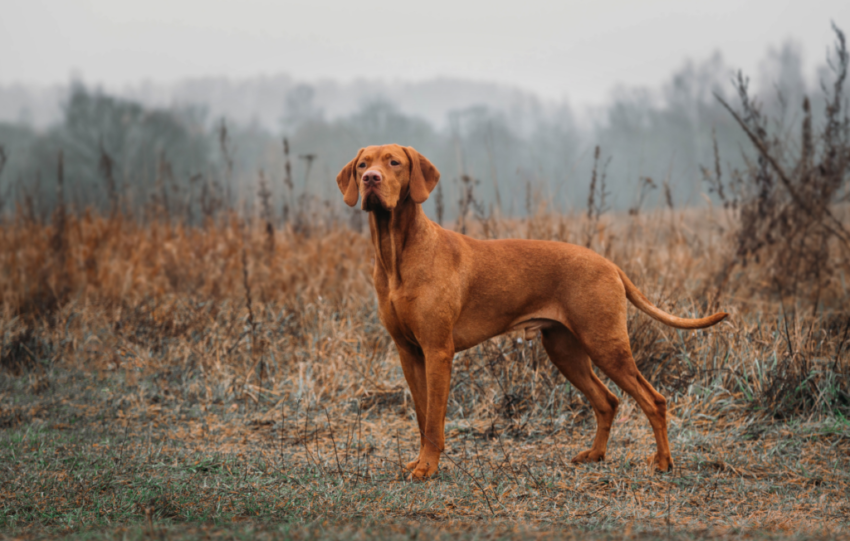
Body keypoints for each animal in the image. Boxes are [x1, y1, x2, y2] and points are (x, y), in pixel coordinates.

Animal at [334, 143, 724, 476]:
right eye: (363, 165)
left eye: (393, 163)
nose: (371, 180)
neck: (396, 254)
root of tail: (609, 264)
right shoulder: (409, 352)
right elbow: (420, 416)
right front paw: (419, 462)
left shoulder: (437, 351)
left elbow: (433, 421)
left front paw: (427, 468)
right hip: (565, 350)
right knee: (608, 401)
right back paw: (596, 455)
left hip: (606, 344)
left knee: (653, 400)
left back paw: (662, 462)